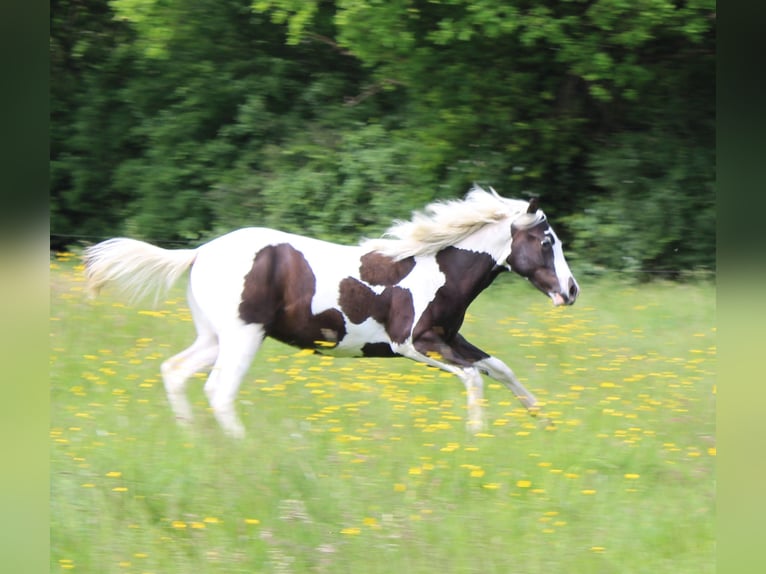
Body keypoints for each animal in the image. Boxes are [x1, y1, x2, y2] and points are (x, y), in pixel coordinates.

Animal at [83, 185, 579, 438]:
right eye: (546, 242)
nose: (571, 291)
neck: (438, 267)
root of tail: (200, 252)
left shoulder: (449, 338)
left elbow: (501, 368)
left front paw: (545, 422)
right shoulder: (413, 343)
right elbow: (475, 377)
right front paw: (477, 436)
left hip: (213, 337)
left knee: (174, 371)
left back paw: (191, 437)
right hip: (243, 336)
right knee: (219, 390)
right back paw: (241, 448)